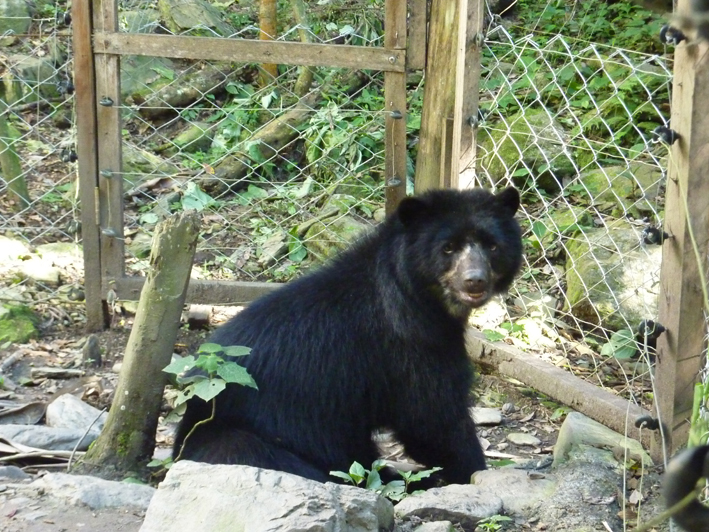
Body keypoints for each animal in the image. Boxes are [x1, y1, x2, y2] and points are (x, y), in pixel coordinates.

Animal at [174, 188, 524, 486]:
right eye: (448, 248)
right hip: (239, 440)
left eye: (492, 246)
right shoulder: (411, 345)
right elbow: (433, 418)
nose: (475, 281)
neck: (425, 298)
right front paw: (474, 472)